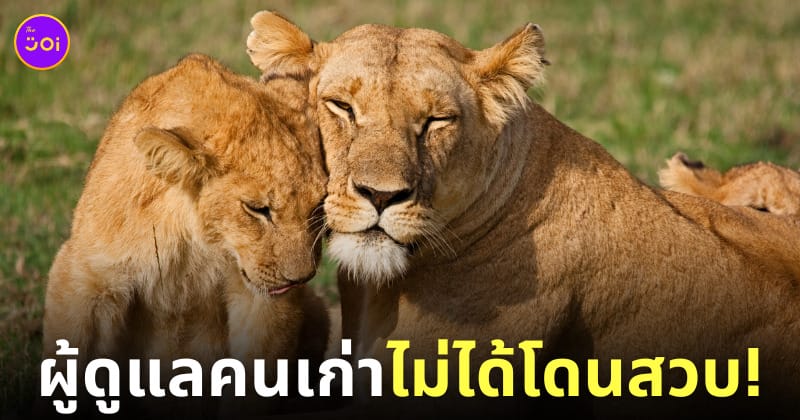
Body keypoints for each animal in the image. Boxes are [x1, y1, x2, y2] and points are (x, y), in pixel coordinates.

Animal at [42, 54, 329, 413]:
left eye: (319, 205)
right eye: (257, 209)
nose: (301, 278)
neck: (196, 238)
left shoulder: (262, 299)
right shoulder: (86, 278)